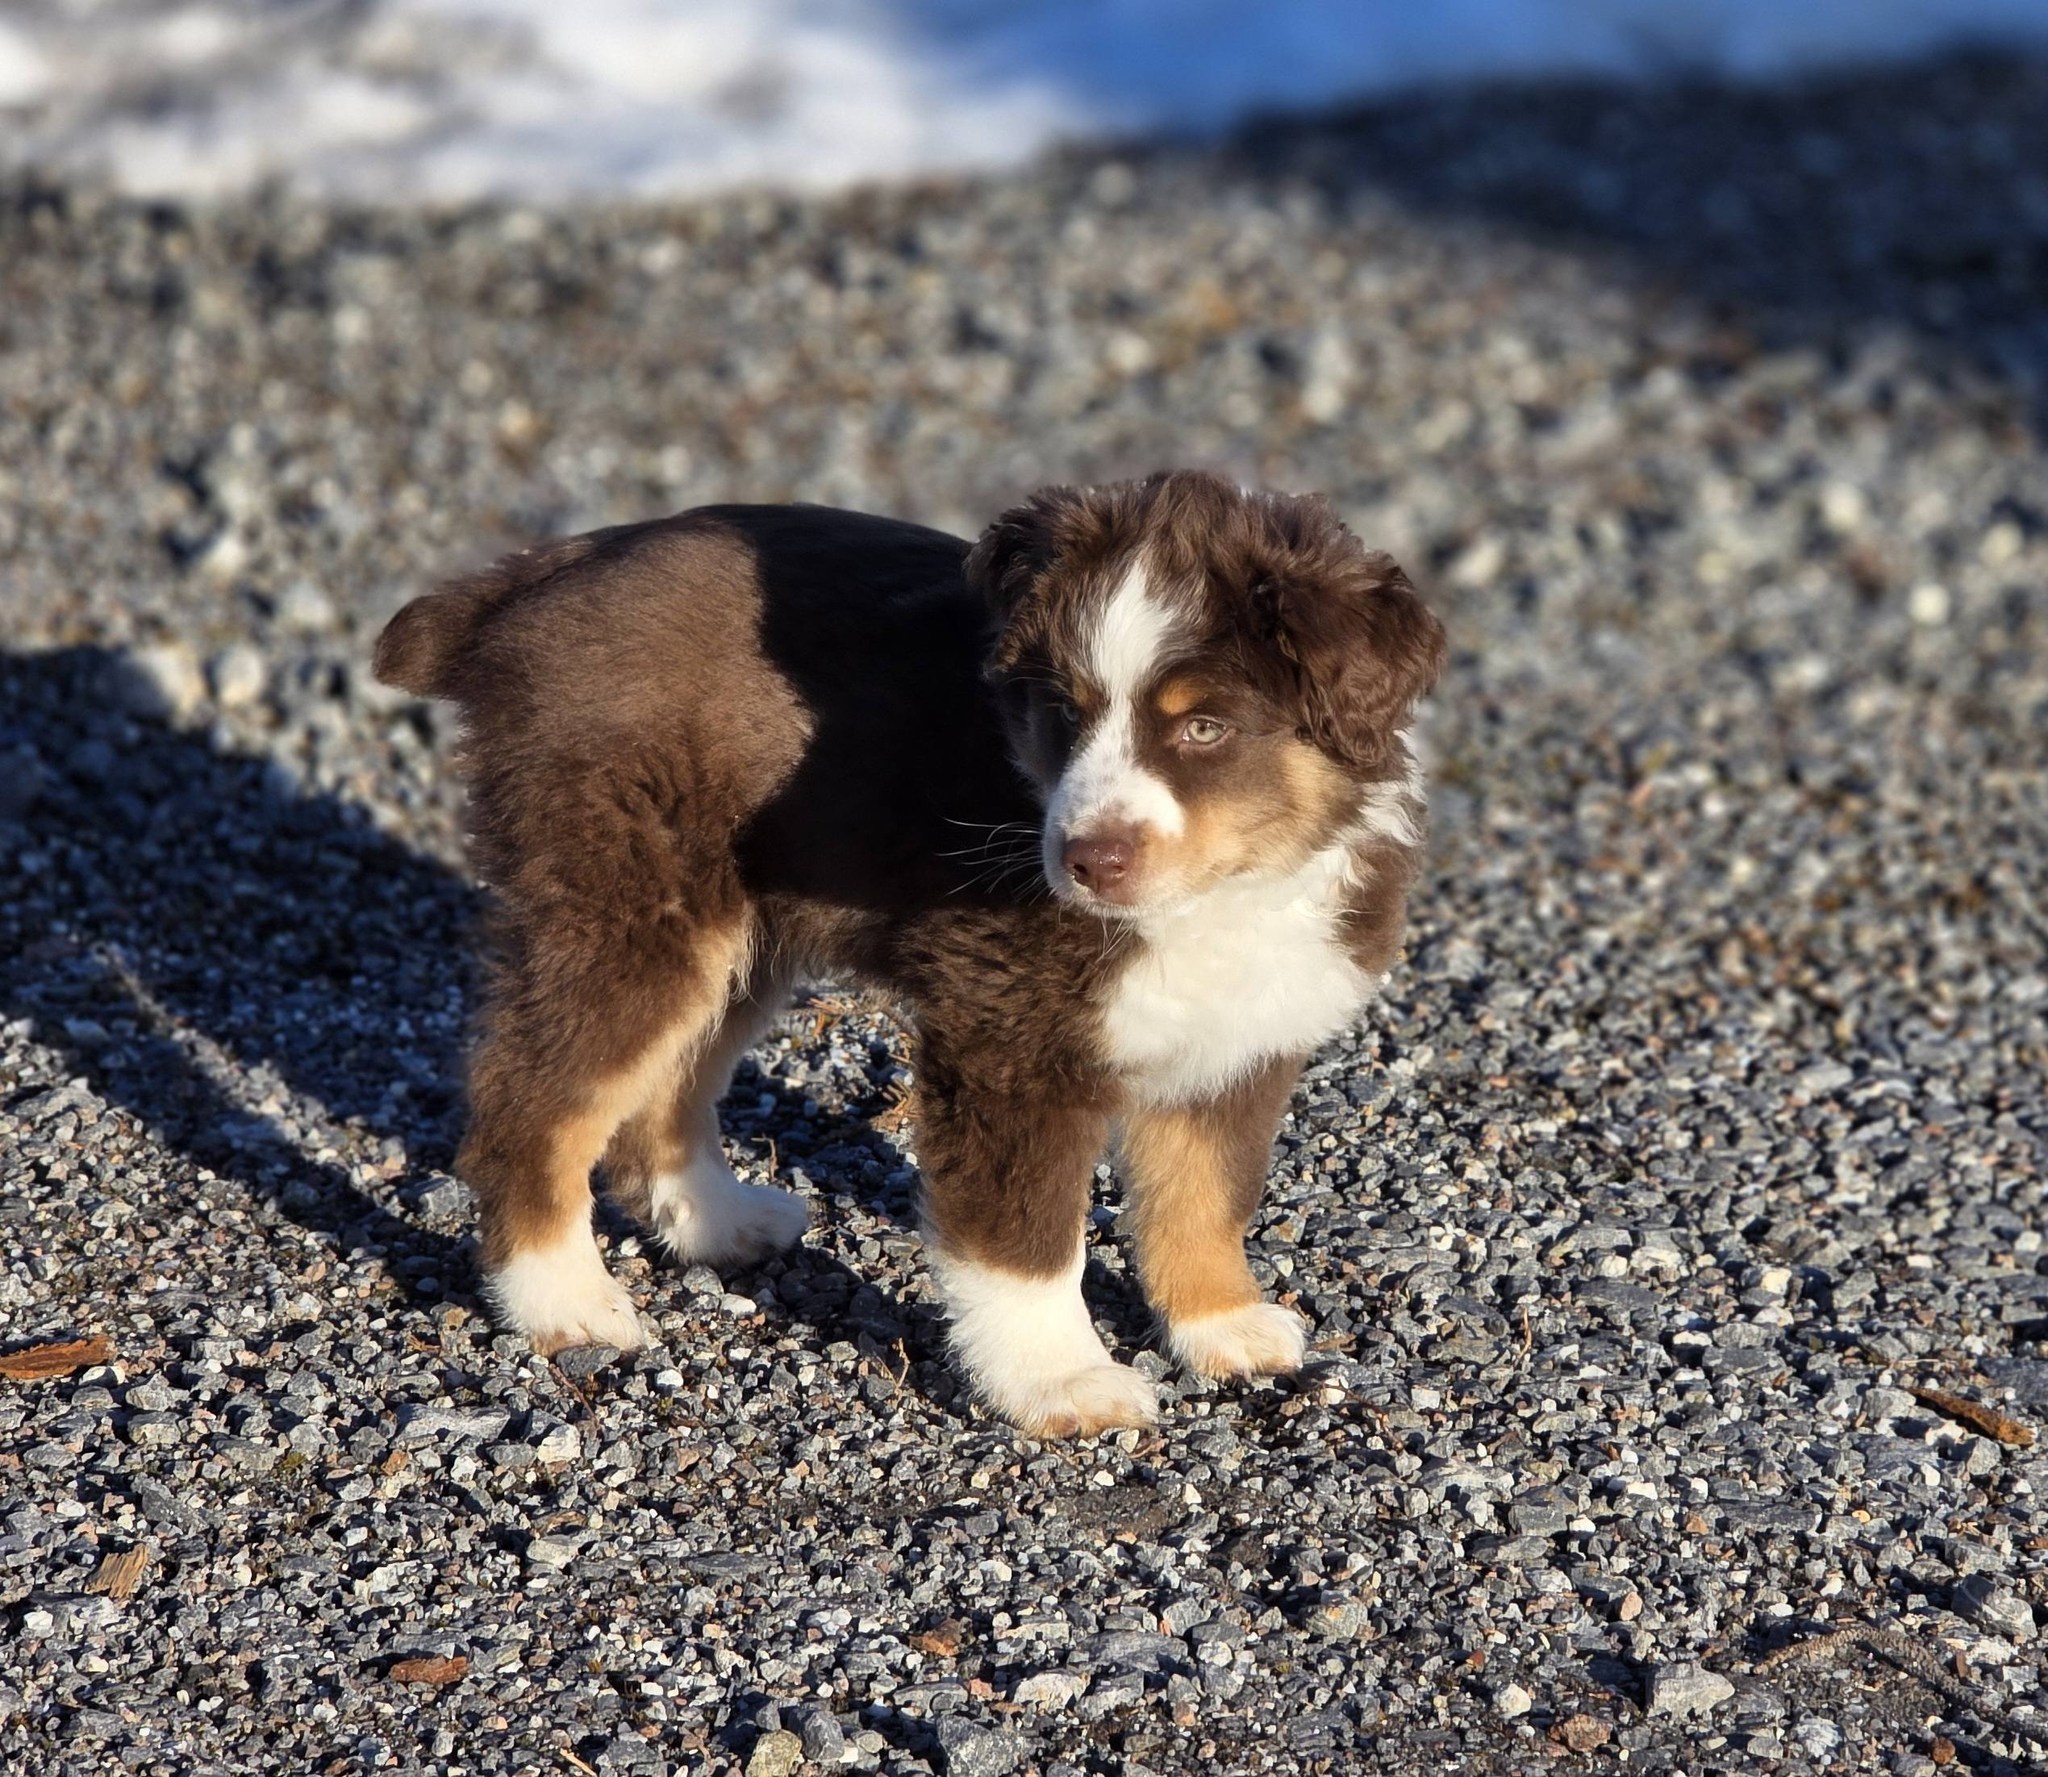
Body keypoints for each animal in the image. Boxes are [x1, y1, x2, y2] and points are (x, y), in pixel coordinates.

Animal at [373, 469, 1444, 1435]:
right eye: (1063, 712)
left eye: (1206, 726)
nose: (1086, 859)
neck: (1217, 895)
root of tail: (526, 585)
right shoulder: (1009, 1038)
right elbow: (1025, 1243)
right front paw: (1061, 1382)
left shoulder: (1240, 1039)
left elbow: (1207, 1197)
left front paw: (1224, 1326)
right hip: (631, 908)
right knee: (533, 1106)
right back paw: (566, 1303)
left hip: (739, 933)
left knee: (663, 1091)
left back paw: (721, 1223)